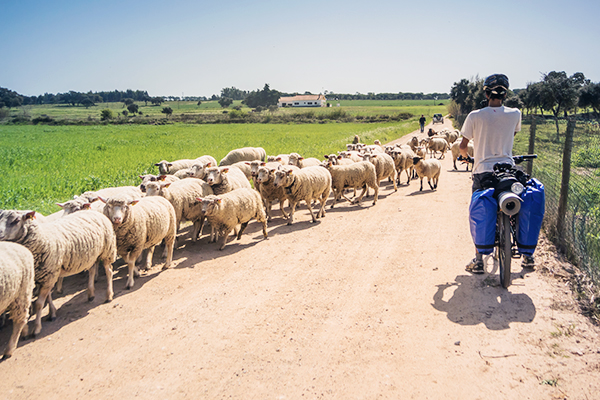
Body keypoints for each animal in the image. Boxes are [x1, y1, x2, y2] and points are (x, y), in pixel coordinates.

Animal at [0, 209, 118, 338]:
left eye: (16, 220)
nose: (0, 233)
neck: (41, 238)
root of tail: (92, 211)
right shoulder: (46, 275)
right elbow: (47, 298)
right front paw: (52, 314)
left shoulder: (49, 274)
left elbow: (39, 304)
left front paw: (36, 328)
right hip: (90, 255)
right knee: (92, 270)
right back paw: (91, 294)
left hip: (107, 249)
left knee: (109, 271)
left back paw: (109, 295)